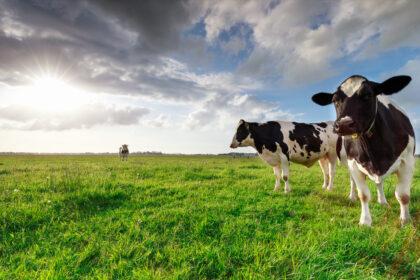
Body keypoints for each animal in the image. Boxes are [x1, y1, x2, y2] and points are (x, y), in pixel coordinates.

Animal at [310, 74, 416, 225]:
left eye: (367, 95)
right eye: (335, 100)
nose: (344, 124)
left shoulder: (407, 162)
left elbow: (403, 195)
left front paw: (405, 220)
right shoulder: (354, 164)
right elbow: (363, 195)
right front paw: (365, 221)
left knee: (380, 183)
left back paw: (382, 201)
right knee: (353, 182)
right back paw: (352, 196)